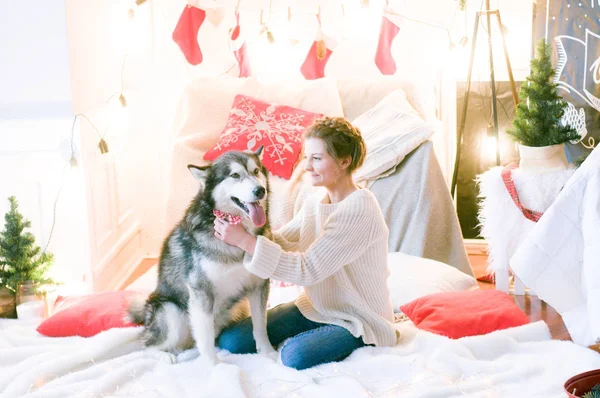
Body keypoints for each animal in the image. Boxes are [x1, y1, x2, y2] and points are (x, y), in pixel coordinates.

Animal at [129, 148, 276, 364]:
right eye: (235, 175)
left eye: (256, 171)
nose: (260, 190)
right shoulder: (201, 291)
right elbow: (205, 337)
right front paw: (214, 365)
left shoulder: (258, 285)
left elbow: (260, 326)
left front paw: (268, 353)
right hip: (171, 312)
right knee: (146, 346)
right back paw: (165, 356)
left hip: (238, 309)